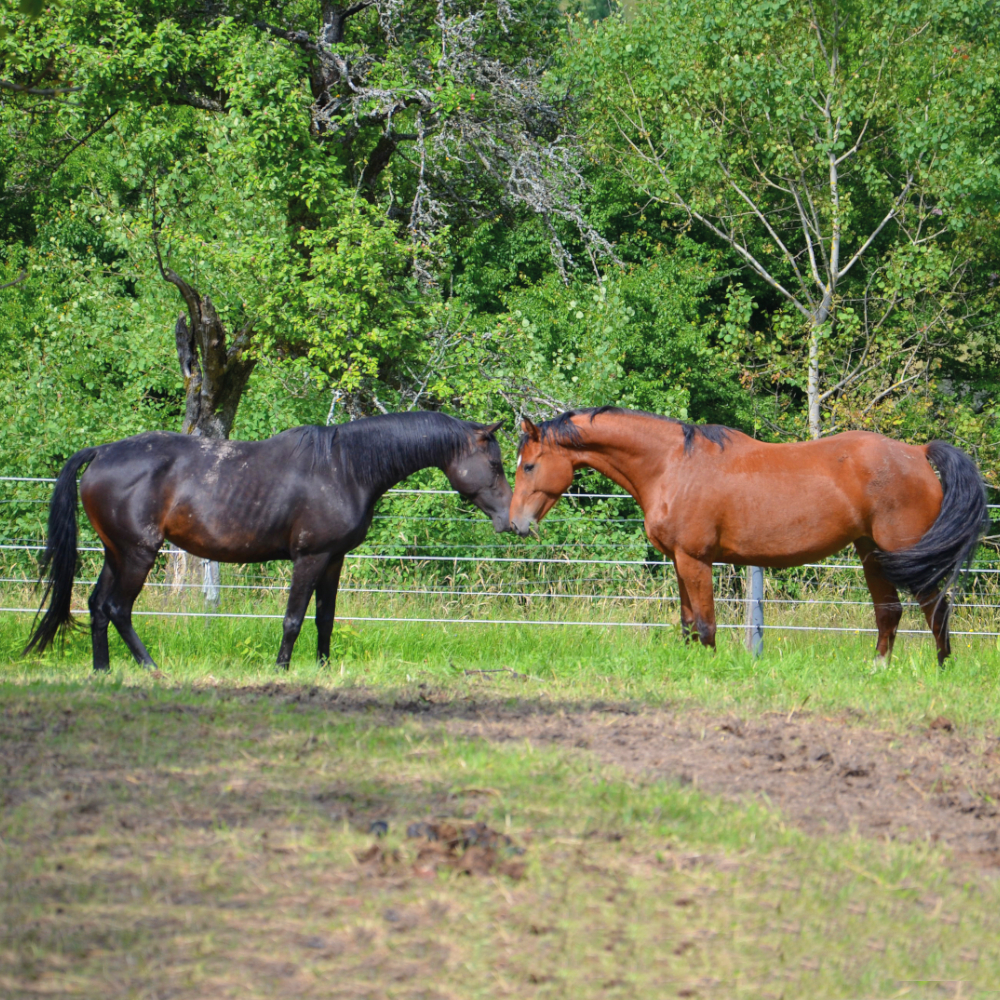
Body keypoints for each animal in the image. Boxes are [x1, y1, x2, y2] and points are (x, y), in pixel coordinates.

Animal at [27, 414, 512, 672]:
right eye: (494, 463)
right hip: (138, 553)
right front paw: (282, 669)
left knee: (96, 606)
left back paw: (103, 670)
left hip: (116, 552)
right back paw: (149, 668)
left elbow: (324, 619)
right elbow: (293, 619)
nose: (512, 519)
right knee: (117, 608)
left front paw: (323, 669)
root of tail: (101, 452)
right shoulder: (310, 557)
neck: (345, 468)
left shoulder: (333, 559)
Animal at [512, 406, 988, 664]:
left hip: (904, 551)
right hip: (872, 553)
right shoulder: (679, 561)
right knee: (889, 613)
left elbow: (705, 625)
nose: (515, 523)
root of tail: (917, 453)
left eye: (530, 465)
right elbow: (687, 624)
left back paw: (940, 670)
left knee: (936, 610)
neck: (672, 465)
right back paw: (878, 669)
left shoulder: (695, 559)